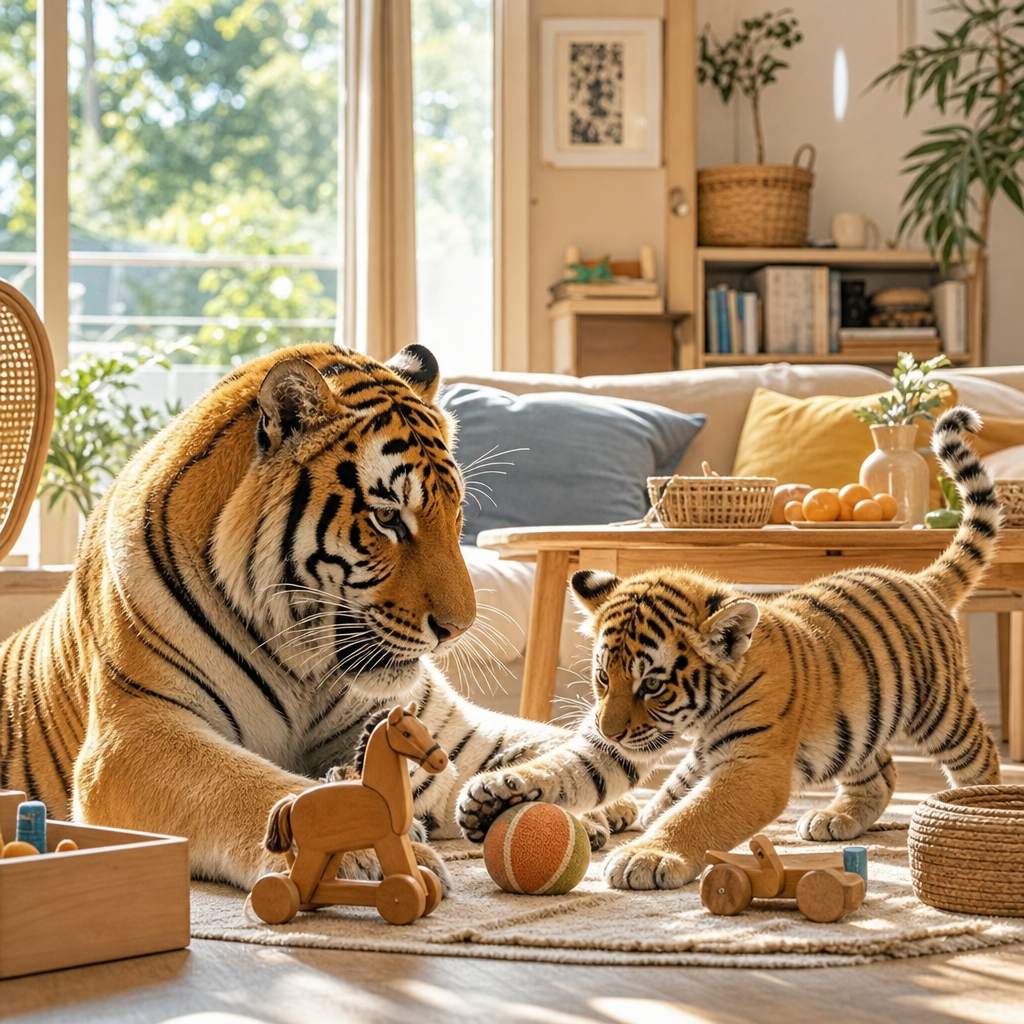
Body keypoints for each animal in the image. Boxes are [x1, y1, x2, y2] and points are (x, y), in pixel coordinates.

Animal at [0, 343, 636, 889]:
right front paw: (357, 846)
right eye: (388, 518)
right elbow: (247, 785)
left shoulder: (445, 731)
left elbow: (545, 739)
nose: (457, 630)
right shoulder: (135, 735)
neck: (302, 667)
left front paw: (594, 803)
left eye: (456, 516)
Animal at [457, 406, 1002, 890]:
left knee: (978, 753)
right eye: (603, 677)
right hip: (856, 726)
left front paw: (646, 856)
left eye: (652, 684)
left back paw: (982, 807)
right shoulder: (617, 748)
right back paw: (837, 819)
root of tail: (919, 578)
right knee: (881, 772)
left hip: (938, 711)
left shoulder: (751, 766)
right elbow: (565, 767)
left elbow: (699, 813)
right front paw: (493, 792)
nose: (611, 730)